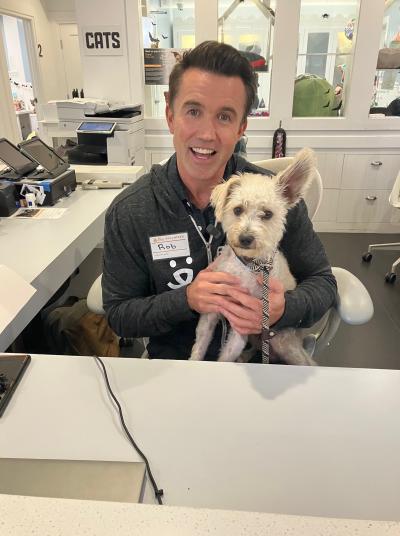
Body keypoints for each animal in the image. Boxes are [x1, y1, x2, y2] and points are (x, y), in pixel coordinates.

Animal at [189, 148, 318, 364]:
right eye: (237, 209)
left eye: (267, 214)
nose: (245, 238)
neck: (247, 265)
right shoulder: (211, 312)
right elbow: (199, 347)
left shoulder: (244, 320)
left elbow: (226, 357)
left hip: (283, 342)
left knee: (305, 361)